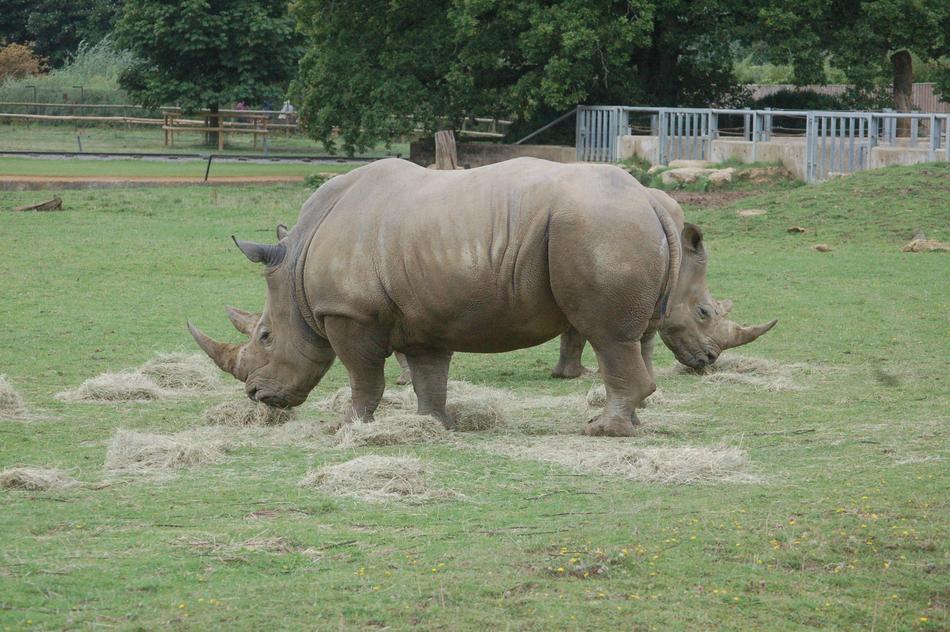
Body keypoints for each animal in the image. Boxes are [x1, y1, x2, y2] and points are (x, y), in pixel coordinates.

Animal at [189, 158, 775, 437]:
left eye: (266, 336)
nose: (258, 398)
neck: (295, 269)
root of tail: (649, 200)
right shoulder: (422, 318)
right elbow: (429, 377)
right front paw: (435, 426)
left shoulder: (350, 313)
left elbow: (363, 378)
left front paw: (347, 427)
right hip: (610, 227)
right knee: (626, 337)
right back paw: (629, 425)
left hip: (598, 229)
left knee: (610, 335)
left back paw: (602, 432)